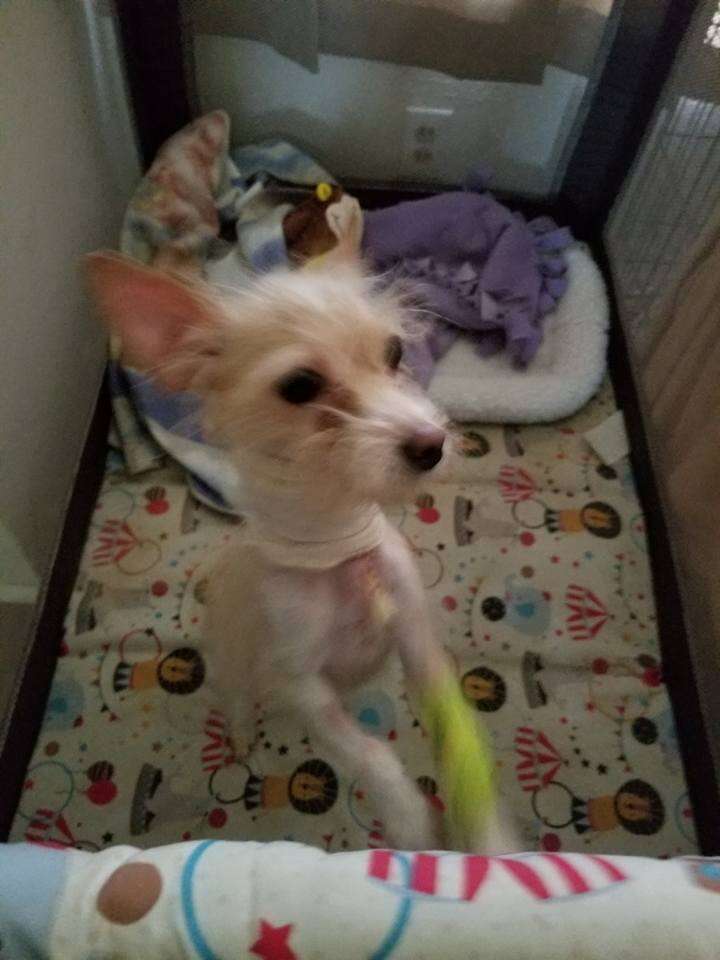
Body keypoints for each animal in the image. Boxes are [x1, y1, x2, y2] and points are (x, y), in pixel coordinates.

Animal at [87, 249, 516, 856]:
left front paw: (486, 831)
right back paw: (243, 734)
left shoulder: (419, 648)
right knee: (237, 698)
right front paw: (406, 814)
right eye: (299, 386)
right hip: (234, 664)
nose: (431, 445)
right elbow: (367, 751)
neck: (338, 553)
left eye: (394, 353)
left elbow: (458, 730)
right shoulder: (303, 685)